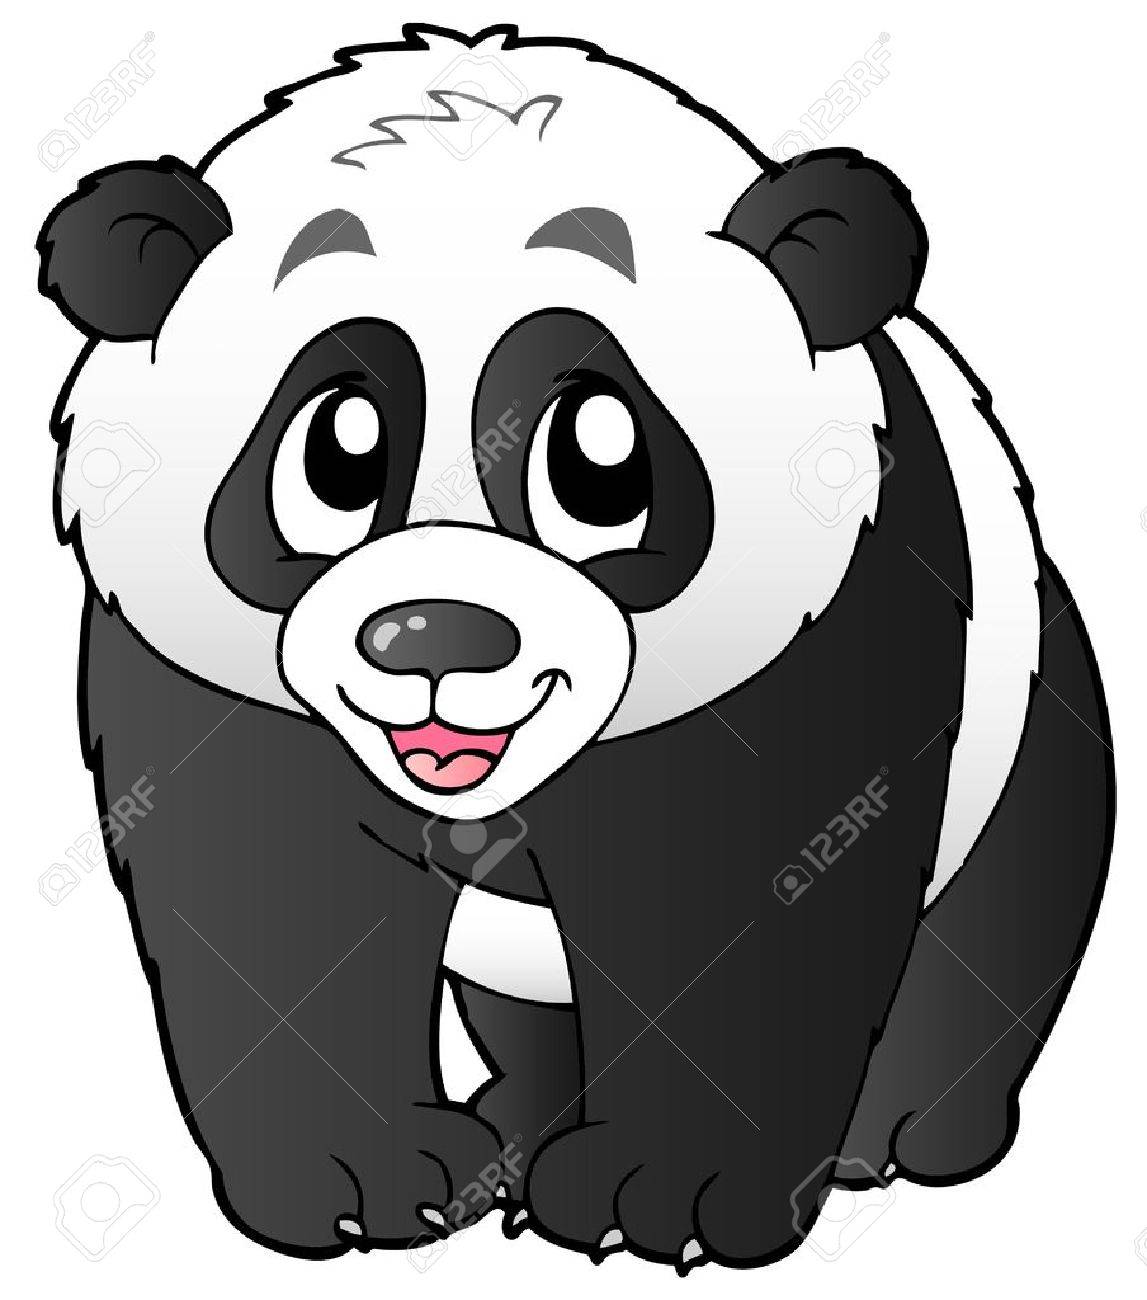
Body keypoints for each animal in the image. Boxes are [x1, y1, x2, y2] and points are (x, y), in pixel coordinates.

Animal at [38, 23, 1113, 1273]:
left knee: (989, 935)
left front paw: (666, 1195)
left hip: (1033, 725)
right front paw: (361, 1183)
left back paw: (895, 1131)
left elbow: (747, 899)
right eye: (336, 450)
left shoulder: (828, 630)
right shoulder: (206, 681)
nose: (432, 635)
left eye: (599, 460)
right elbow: (275, 901)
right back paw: (514, 1132)